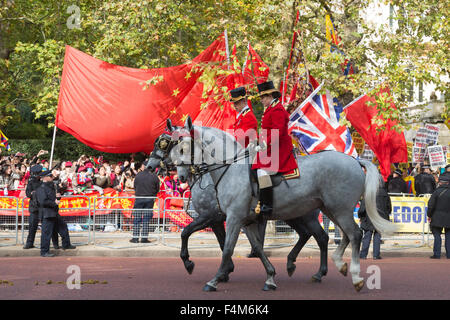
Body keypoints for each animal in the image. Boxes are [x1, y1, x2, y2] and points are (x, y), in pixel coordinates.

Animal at [146, 123, 328, 282]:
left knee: (320, 237)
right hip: (293, 215)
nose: (149, 166)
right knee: (307, 234)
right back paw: (293, 264)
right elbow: (225, 242)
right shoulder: (221, 219)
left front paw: (193, 264)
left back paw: (318, 272)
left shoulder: (212, 216)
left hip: (305, 215)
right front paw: (226, 271)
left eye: (164, 143)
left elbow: (188, 233)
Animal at [170, 117, 398, 292]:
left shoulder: (232, 218)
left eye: (184, 146)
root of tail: (354, 160)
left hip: (338, 210)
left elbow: (227, 248)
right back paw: (332, 266)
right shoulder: (246, 220)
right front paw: (270, 277)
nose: (180, 176)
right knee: (338, 236)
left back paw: (355, 277)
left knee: (354, 235)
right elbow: (257, 247)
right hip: (331, 210)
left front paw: (213, 279)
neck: (230, 168)